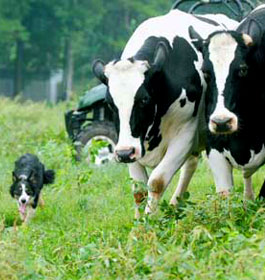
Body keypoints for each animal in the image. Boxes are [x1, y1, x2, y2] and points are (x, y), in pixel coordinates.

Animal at [92, 8, 237, 218]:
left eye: (144, 99)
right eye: (110, 103)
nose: (125, 153)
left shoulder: (185, 136)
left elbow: (157, 181)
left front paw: (148, 222)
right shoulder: (127, 141)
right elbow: (138, 189)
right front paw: (138, 224)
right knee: (191, 164)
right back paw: (176, 204)